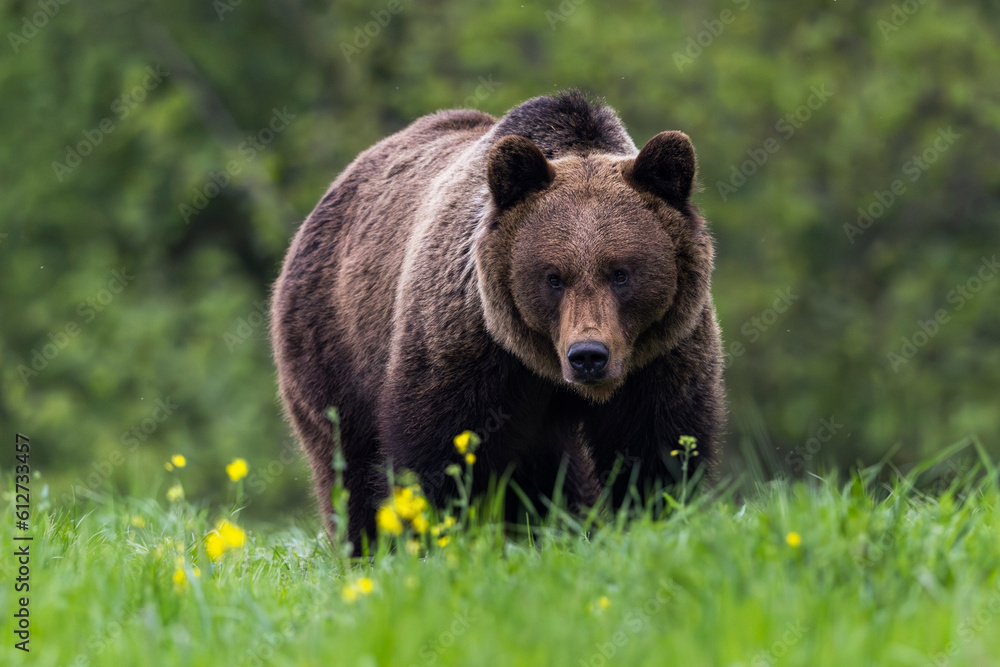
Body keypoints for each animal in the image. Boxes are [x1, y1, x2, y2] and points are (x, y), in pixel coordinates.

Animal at [270, 91, 725, 549]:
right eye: (553, 277)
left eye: (621, 273)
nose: (588, 356)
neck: (542, 365)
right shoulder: (466, 347)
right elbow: (438, 452)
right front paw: (430, 537)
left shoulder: (659, 353)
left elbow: (656, 447)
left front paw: (650, 519)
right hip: (333, 345)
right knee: (348, 461)